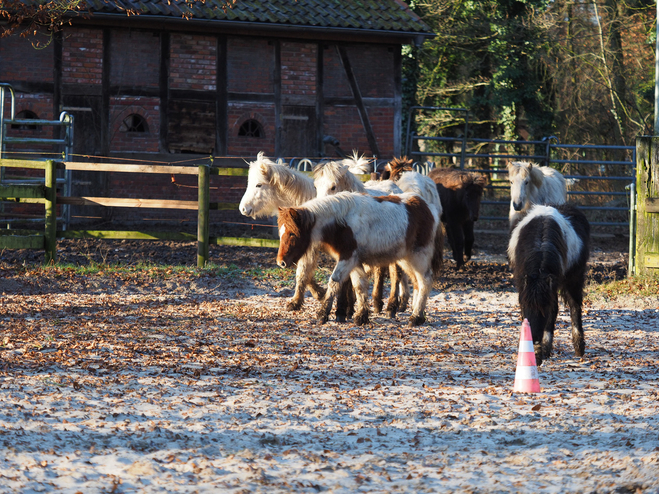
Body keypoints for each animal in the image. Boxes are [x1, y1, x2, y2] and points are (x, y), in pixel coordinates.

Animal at [276, 191, 440, 326]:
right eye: (281, 232)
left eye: (292, 233)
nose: (280, 262)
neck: (341, 222)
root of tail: (428, 207)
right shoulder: (354, 261)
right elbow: (359, 285)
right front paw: (361, 316)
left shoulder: (348, 258)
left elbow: (334, 281)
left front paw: (323, 314)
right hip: (405, 259)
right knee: (416, 282)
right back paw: (417, 313)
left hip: (418, 257)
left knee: (425, 281)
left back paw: (416, 317)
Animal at [508, 203, 592, 364]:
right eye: (525, 306)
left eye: (543, 309)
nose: (534, 337)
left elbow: (552, 313)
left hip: (574, 279)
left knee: (575, 306)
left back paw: (579, 347)